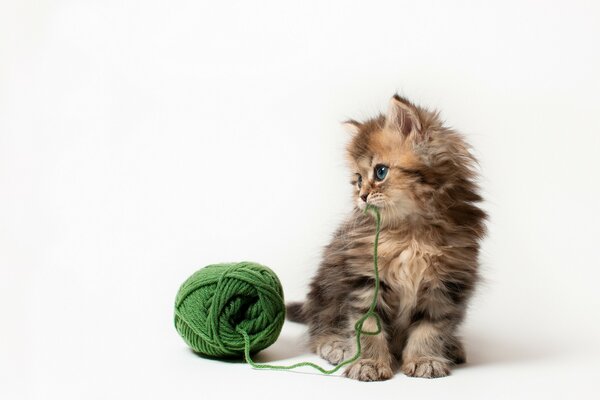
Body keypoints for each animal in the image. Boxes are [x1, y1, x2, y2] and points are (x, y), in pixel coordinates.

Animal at [288, 94, 488, 382]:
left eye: (380, 172)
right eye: (358, 180)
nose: (361, 197)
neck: (411, 236)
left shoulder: (446, 283)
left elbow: (431, 328)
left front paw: (425, 359)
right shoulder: (365, 281)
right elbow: (367, 327)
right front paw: (368, 363)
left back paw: (452, 346)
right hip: (324, 291)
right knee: (319, 327)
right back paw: (336, 346)